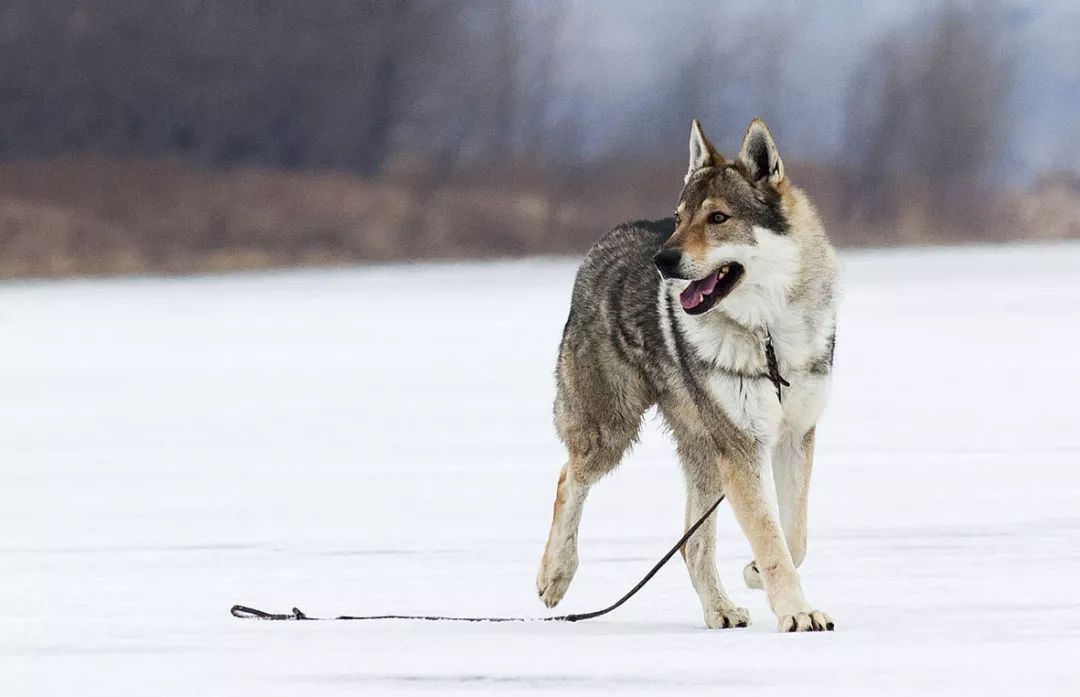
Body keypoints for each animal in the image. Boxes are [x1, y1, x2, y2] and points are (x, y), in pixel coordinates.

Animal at [535, 118, 838, 631]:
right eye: (680, 218)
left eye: (717, 218)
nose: (664, 260)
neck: (768, 336)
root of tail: (610, 237)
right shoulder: (741, 448)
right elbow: (773, 541)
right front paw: (797, 613)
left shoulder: (795, 435)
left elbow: (792, 537)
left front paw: (756, 574)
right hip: (611, 433)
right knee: (566, 478)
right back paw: (555, 576)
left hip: (704, 454)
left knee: (691, 542)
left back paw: (720, 610)